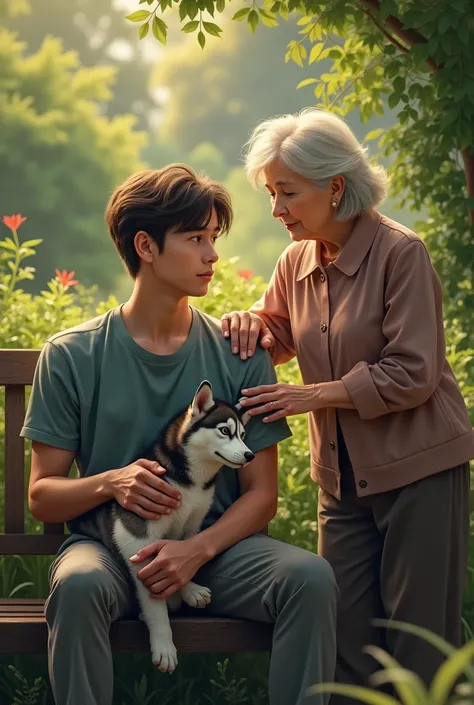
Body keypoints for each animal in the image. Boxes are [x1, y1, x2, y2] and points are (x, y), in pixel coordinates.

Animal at [71, 382, 254, 672]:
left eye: (243, 434)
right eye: (225, 431)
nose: (250, 455)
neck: (191, 482)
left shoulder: (191, 526)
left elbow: (183, 558)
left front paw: (189, 589)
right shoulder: (136, 539)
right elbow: (155, 604)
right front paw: (164, 645)